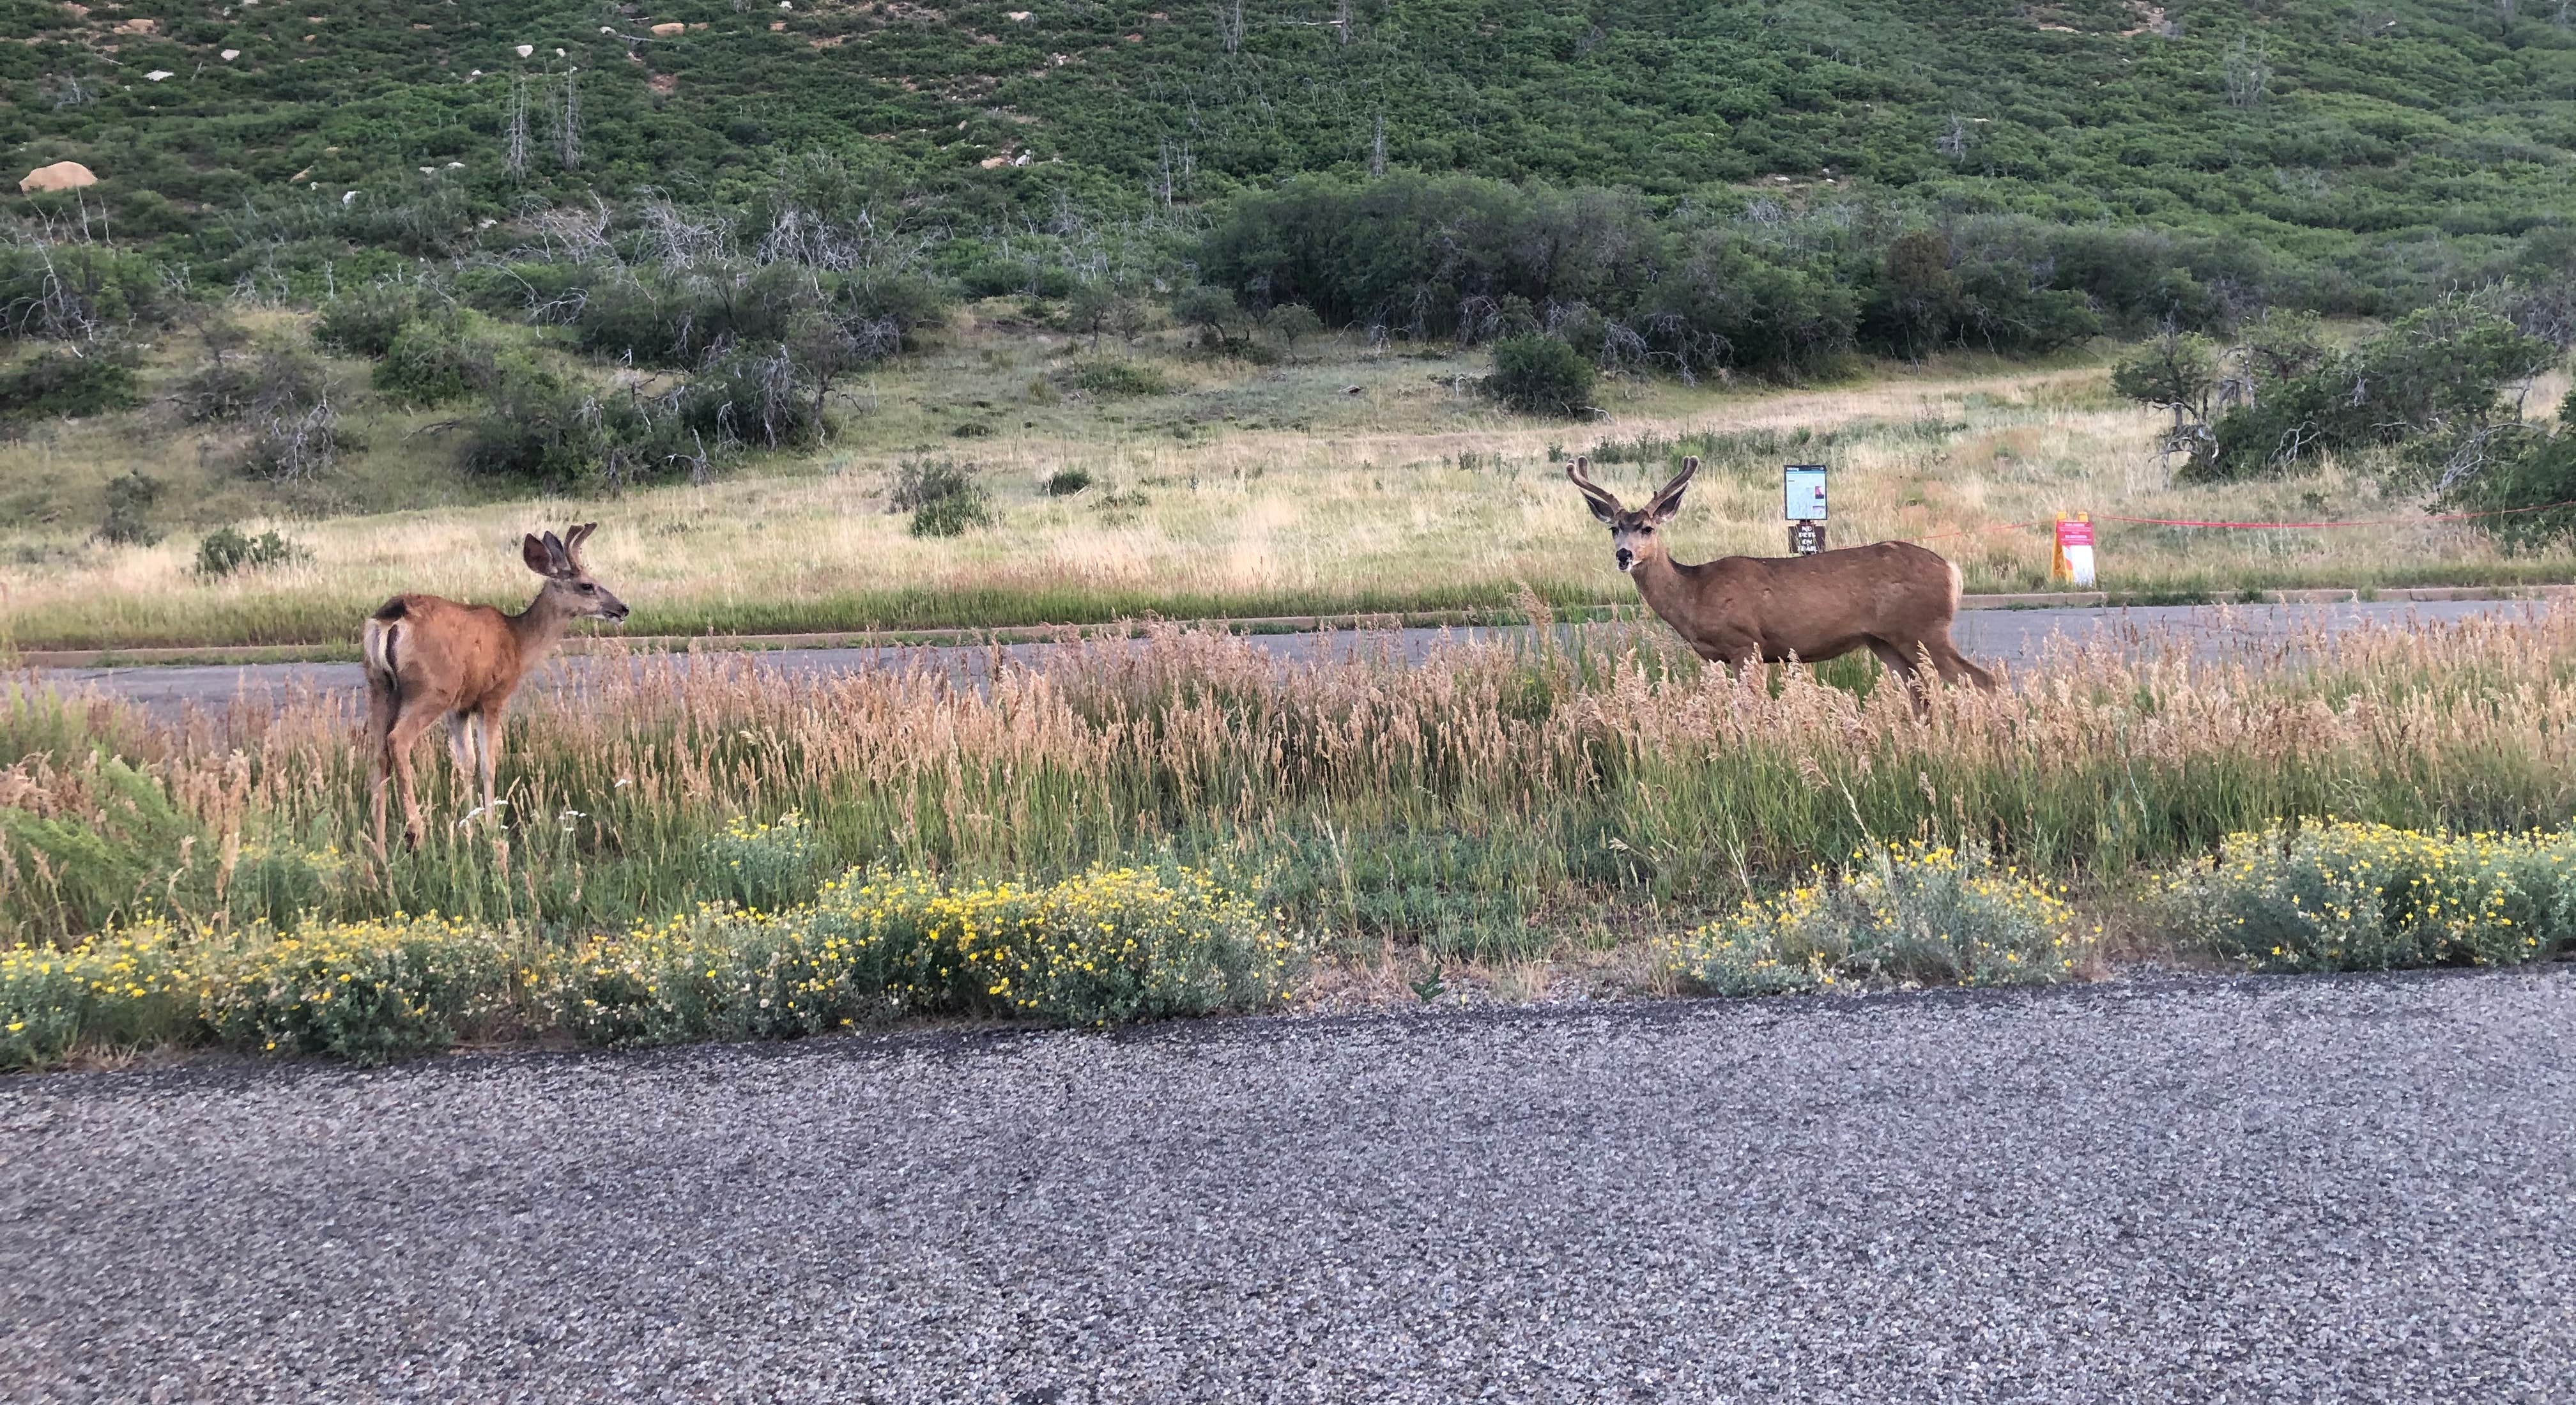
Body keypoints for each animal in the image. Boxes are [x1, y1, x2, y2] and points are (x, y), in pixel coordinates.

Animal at [361, 523, 629, 850]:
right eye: (588, 585)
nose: (622, 609)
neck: (518, 642)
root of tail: (391, 618)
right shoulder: (492, 697)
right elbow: (488, 762)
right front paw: (489, 825)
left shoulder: (460, 706)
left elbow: (466, 762)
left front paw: (469, 824)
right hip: (431, 690)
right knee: (397, 741)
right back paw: (415, 833)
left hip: (380, 687)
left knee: (377, 753)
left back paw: (379, 844)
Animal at [1567, 456, 1994, 710]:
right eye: (1614, 529)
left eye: (1647, 527)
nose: (1624, 556)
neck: (1695, 592)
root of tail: (1953, 571)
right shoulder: (1721, 657)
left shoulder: (1745, 643)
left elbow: (1751, 707)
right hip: (1887, 641)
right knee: (1921, 694)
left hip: (1925, 630)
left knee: (1983, 680)